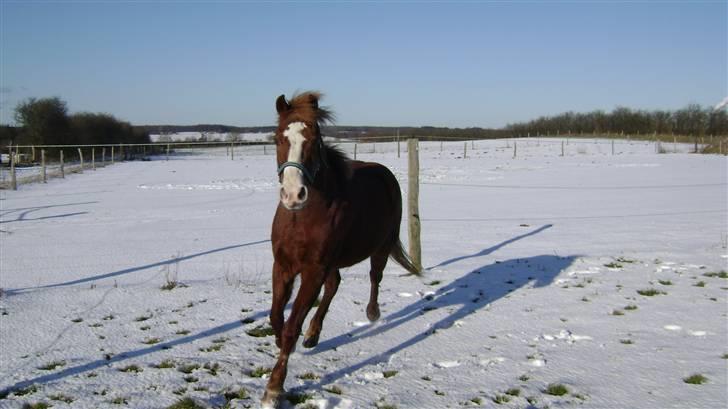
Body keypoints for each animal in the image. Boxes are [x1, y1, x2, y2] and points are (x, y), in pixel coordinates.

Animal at [264, 90, 420, 404]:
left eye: (314, 139)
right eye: (277, 138)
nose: (293, 195)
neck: (303, 217)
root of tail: (384, 173)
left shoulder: (313, 270)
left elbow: (292, 327)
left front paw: (274, 388)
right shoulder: (283, 266)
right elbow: (276, 316)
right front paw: (282, 340)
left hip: (380, 248)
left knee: (373, 277)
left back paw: (372, 313)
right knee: (334, 285)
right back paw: (313, 336)